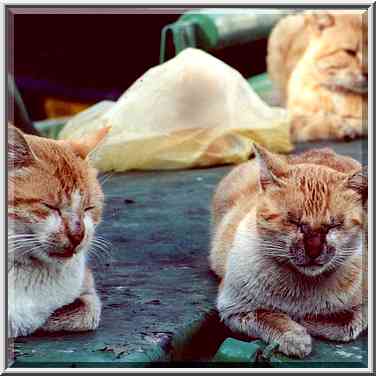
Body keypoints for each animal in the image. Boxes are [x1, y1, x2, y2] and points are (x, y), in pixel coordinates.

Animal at [210, 145, 368, 358]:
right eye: (294, 222)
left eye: (333, 226)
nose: (313, 251)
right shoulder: (233, 309)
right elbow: (270, 316)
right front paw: (294, 337)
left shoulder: (361, 310)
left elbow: (343, 322)